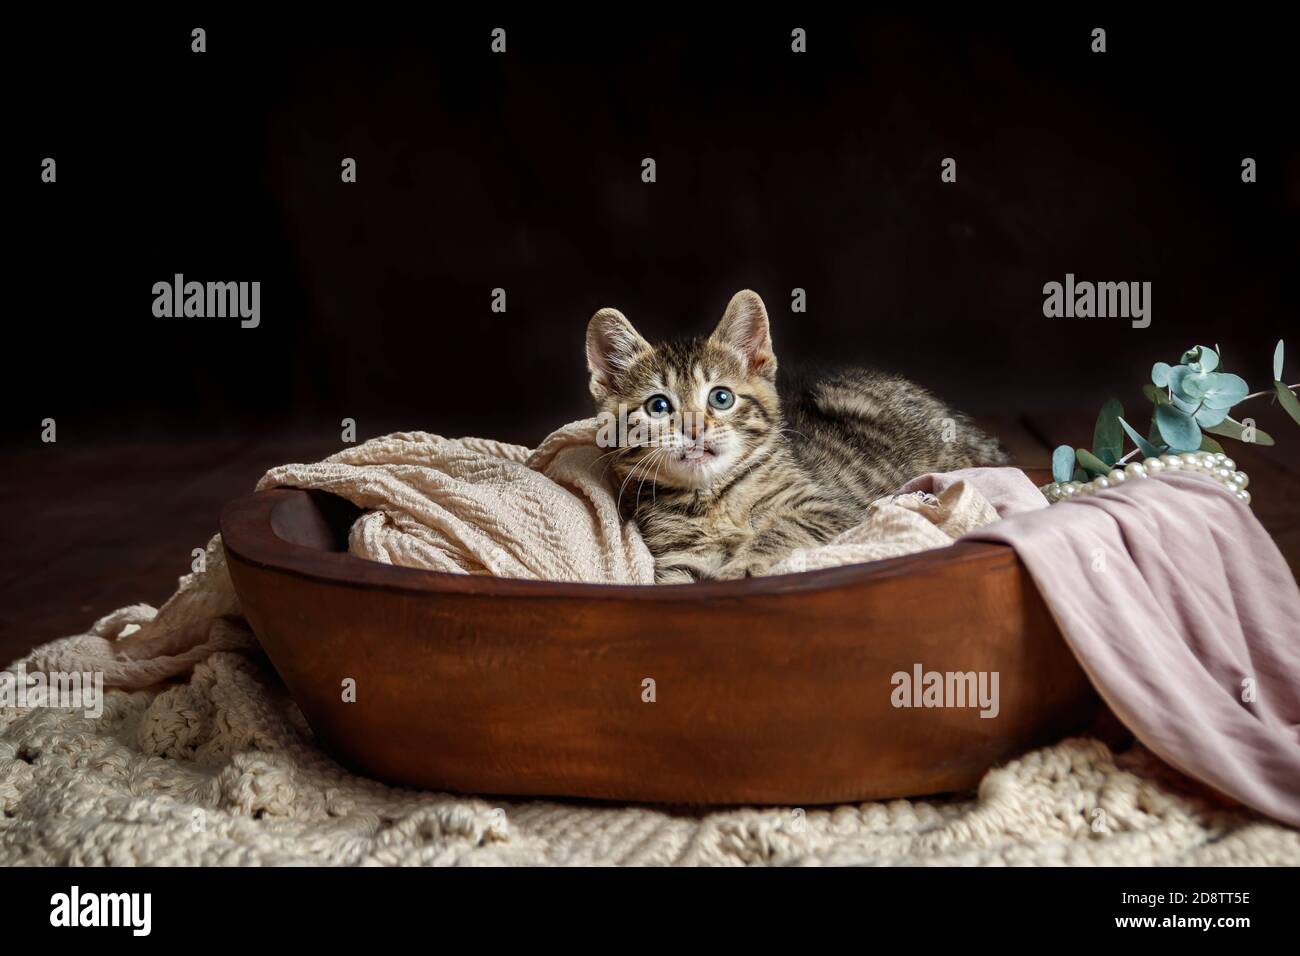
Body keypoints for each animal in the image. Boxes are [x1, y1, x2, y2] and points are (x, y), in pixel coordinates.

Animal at [590, 287, 1003, 580]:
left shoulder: (836, 509)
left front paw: (743, 565)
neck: (713, 498)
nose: (694, 428)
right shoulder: (679, 559)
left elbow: (783, 525)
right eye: (658, 406)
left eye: (721, 398)